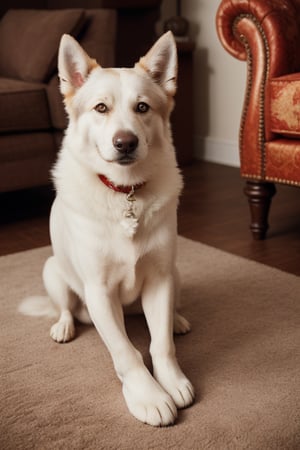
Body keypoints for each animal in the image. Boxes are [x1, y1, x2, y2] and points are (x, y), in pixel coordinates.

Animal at [20, 31, 195, 426]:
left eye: (142, 108)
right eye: (101, 108)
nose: (125, 142)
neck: (124, 192)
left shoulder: (160, 279)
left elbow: (160, 344)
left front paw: (171, 380)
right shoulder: (99, 291)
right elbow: (126, 353)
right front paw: (148, 396)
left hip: (177, 273)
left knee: (167, 316)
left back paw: (177, 319)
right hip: (53, 271)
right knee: (65, 308)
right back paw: (64, 326)